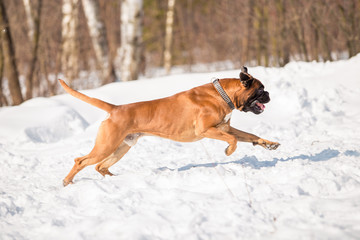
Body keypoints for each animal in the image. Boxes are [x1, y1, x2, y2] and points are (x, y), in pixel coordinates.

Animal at [59, 66, 280, 187]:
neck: (222, 94)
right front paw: (228, 151)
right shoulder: (208, 130)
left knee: (100, 166)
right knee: (81, 161)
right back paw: (67, 181)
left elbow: (250, 135)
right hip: (106, 145)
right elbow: (233, 140)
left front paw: (269, 143)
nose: (269, 94)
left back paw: (115, 179)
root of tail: (115, 108)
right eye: (260, 90)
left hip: (121, 147)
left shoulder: (224, 128)